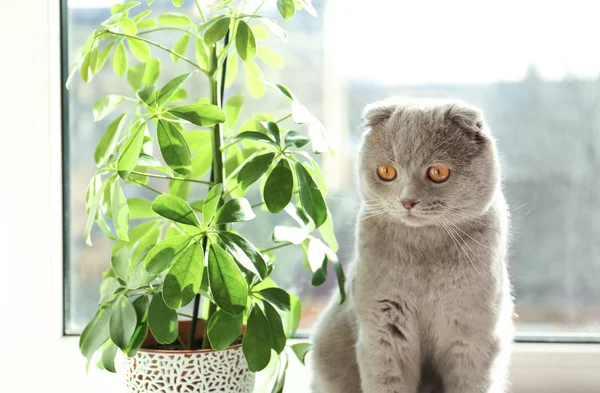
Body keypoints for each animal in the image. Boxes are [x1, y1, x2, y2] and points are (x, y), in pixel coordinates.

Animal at [312, 98, 512, 392]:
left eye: (438, 172)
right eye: (386, 171)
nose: (407, 201)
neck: (424, 254)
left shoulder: (472, 334)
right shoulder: (382, 330)